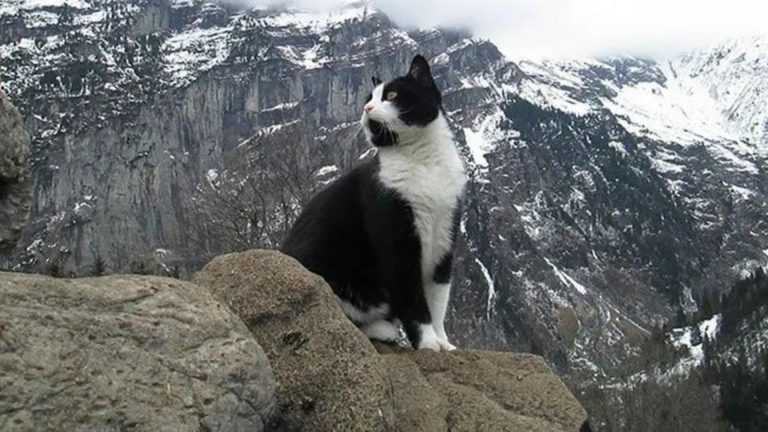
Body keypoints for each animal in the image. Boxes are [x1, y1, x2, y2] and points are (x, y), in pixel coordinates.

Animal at [280, 54, 464, 352]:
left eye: (391, 95)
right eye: (369, 97)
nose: (366, 107)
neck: (423, 160)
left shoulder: (445, 235)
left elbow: (438, 298)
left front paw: (443, 342)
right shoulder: (397, 238)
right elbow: (413, 297)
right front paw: (427, 342)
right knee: (332, 314)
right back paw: (381, 329)